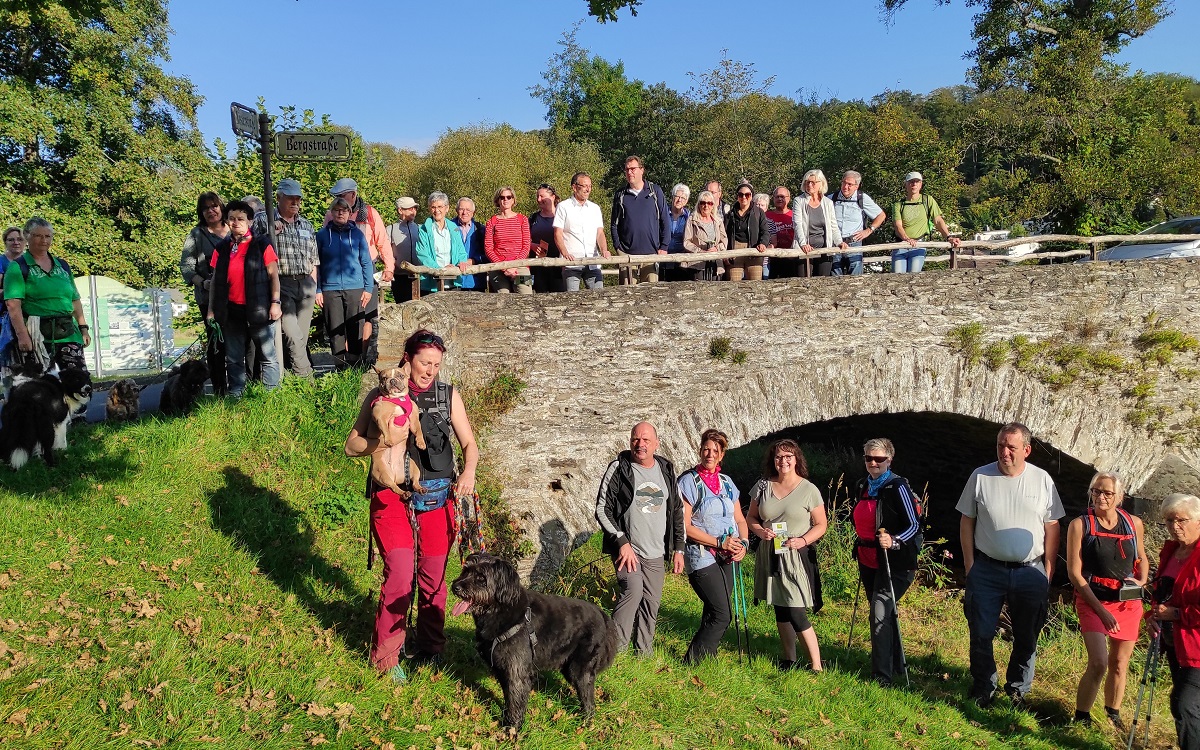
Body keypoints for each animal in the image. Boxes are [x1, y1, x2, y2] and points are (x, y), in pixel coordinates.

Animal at [369, 364, 427, 496]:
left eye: (401, 376)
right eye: (384, 378)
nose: (392, 380)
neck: (397, 399)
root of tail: (397, 476)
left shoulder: (414, 420)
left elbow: (419, 430)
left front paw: (421, 443)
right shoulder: (379, 416)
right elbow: (385, 429)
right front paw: (389, 440)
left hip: (413, 466)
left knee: (414, 482)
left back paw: (419, 488)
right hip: (381, 473)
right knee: (393, 486)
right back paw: (404, 493)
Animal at [451, 552, 619, 729]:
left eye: (481, 577)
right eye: (466, 570)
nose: (456, 586)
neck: (502, 610)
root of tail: (602, 615)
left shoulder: (517, 671)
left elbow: (515, 701)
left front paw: (511, 729)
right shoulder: (503, 669)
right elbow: (508, 698)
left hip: (579, 670)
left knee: (589, 701)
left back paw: (586, 723)